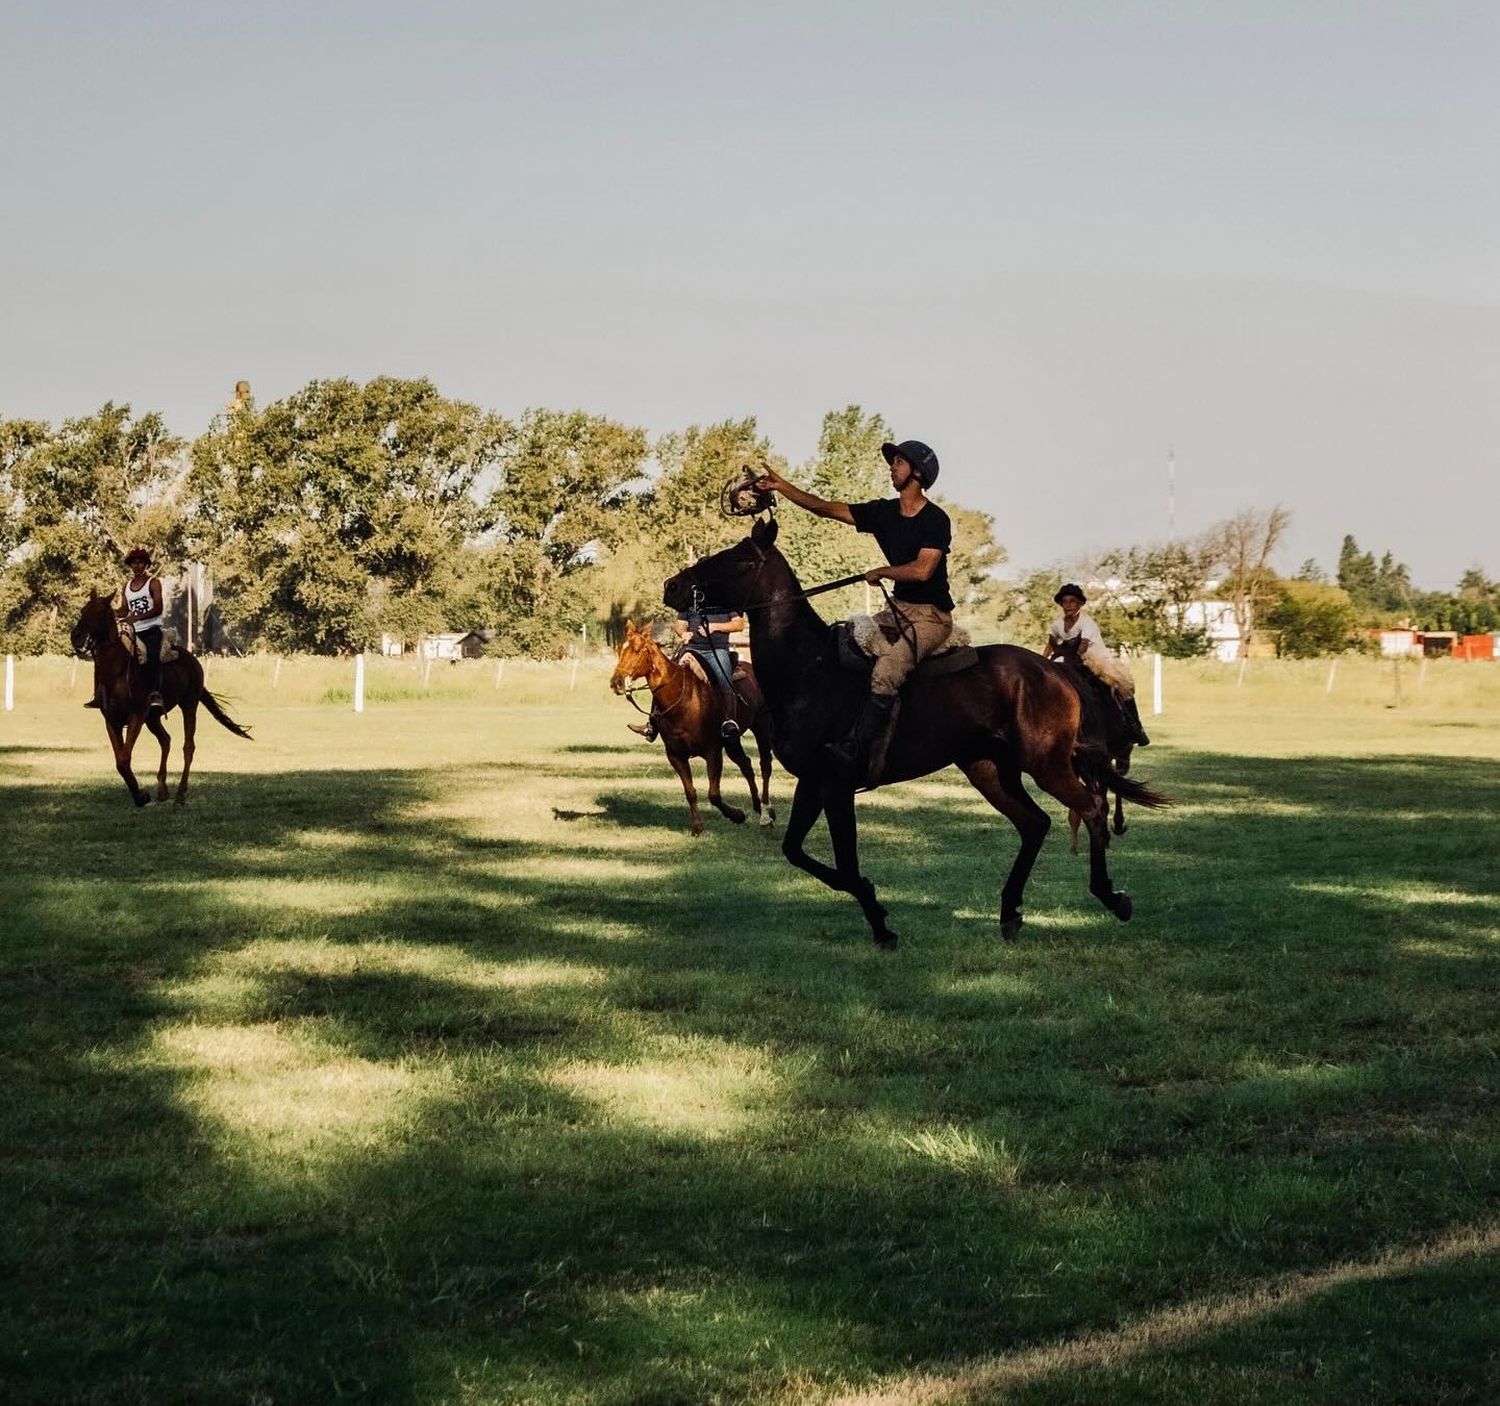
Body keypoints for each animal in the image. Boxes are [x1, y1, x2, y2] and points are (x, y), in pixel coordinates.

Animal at [70, 591, 250, 804]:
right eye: (83, 610)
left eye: (99, 611)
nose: (76, 636)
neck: (116, 673)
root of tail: (192, 660)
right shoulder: (112, 721)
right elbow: (120, 760)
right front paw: (140, 795)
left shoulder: (137, 716)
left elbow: (123, 759)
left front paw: (141, 797)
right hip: (153, 718)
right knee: (166, 740)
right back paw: (163, 789)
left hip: (189, 705)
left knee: (188, 747)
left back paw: (180, 793)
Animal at [669, 522, 1170, 948]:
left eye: (736, 558)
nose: (672, 587)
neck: (810, 670)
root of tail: (1058, 673)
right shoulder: (813, 782)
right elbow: (797, 852)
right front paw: (877, 908)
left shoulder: (836, 785)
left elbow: (847, 863)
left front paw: (881, 922)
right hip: (989, 770)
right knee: (1036, 824)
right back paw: (1010, 913)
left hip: (1046, 764)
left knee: (1090, 809)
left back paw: (1111, 897)